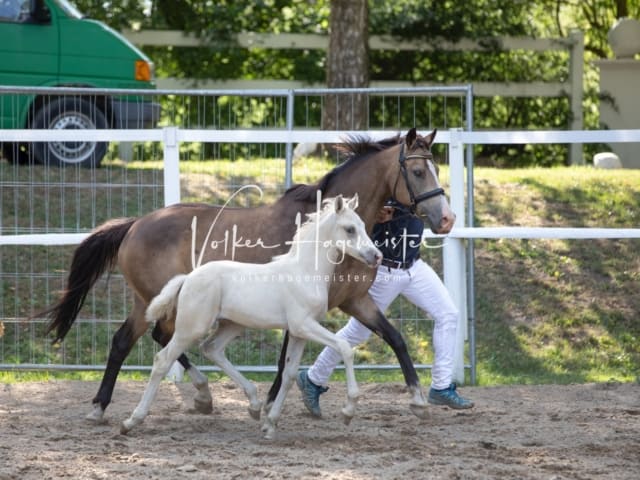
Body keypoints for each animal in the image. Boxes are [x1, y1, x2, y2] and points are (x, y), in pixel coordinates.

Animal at [120, 195, 380, 438]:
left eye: (363, 225)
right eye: (350, 229)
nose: (376, 256)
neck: (304, 272)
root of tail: (188, 278)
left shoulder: (299, 332)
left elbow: (289, 374)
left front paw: (270, 424)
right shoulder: (304, 325)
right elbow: (344, 347)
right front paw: (348, 411)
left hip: (231, 325)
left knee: (212, 349)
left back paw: (254, 404)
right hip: (191, 327)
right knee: (163, 360)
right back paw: (131, 421)